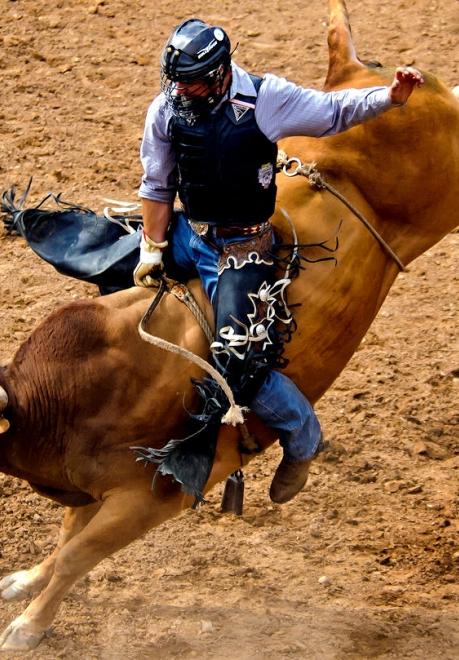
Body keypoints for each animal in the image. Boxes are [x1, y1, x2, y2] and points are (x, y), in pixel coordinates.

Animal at [0, 0, 459, 648]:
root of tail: (356, 72)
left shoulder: (147, 499)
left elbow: (77, 555)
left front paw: (28, 627)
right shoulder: (86, 482)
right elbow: (66, 537)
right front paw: (23, 582)